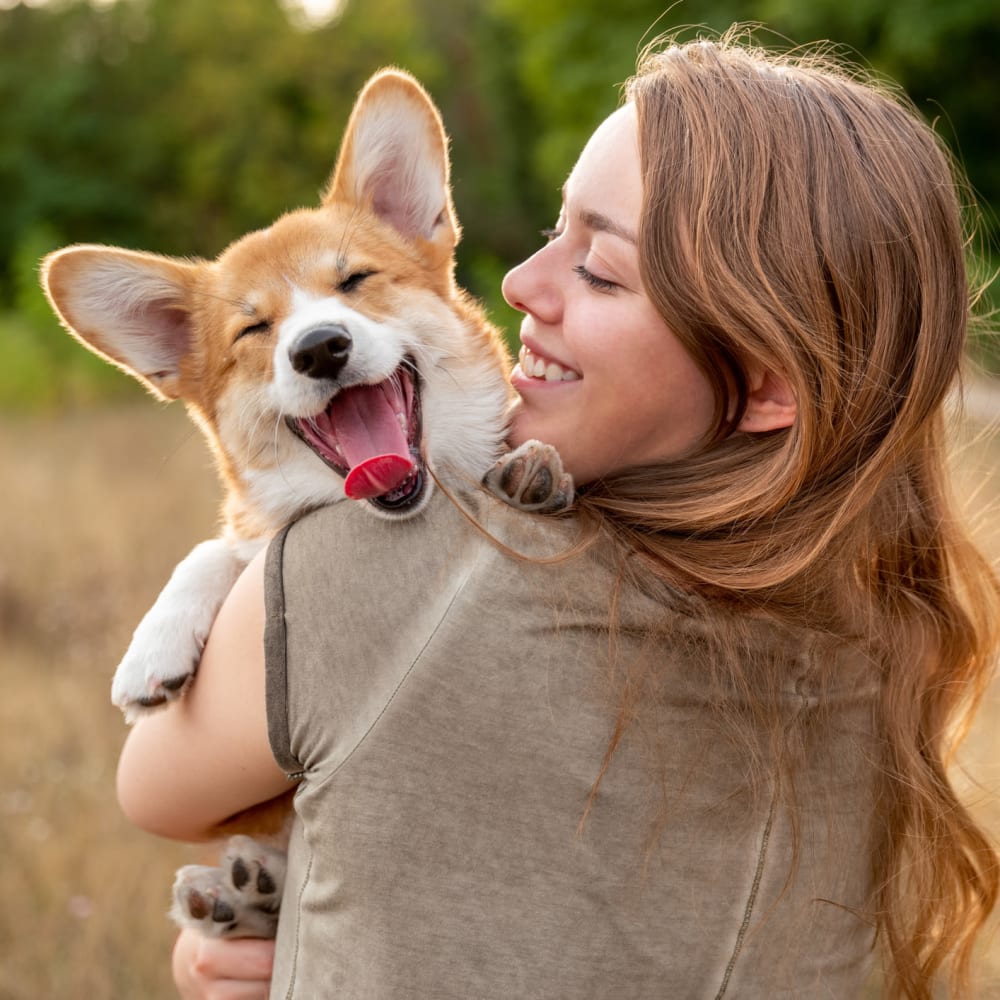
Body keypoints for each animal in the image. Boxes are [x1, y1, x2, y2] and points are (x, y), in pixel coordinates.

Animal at [41, 68, 572, 936]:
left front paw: (534, 467)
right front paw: (152, 652)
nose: (320, 348)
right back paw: (235, 893)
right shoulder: (255, 533)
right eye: (253, 331)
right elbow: (217, 548)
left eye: (354, 281)